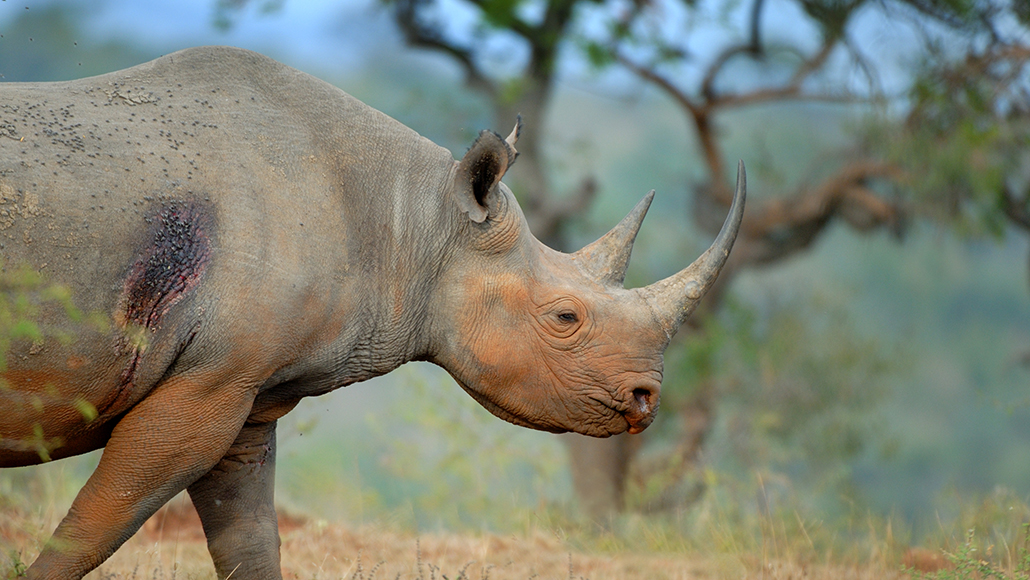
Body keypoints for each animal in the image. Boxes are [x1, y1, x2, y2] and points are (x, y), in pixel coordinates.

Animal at [0, 46, 745, 579]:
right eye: (566, 319)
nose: (646, 400)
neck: (416, 222)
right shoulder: (205, 385)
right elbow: (94, 528)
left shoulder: (241, 388)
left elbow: (249, 540)